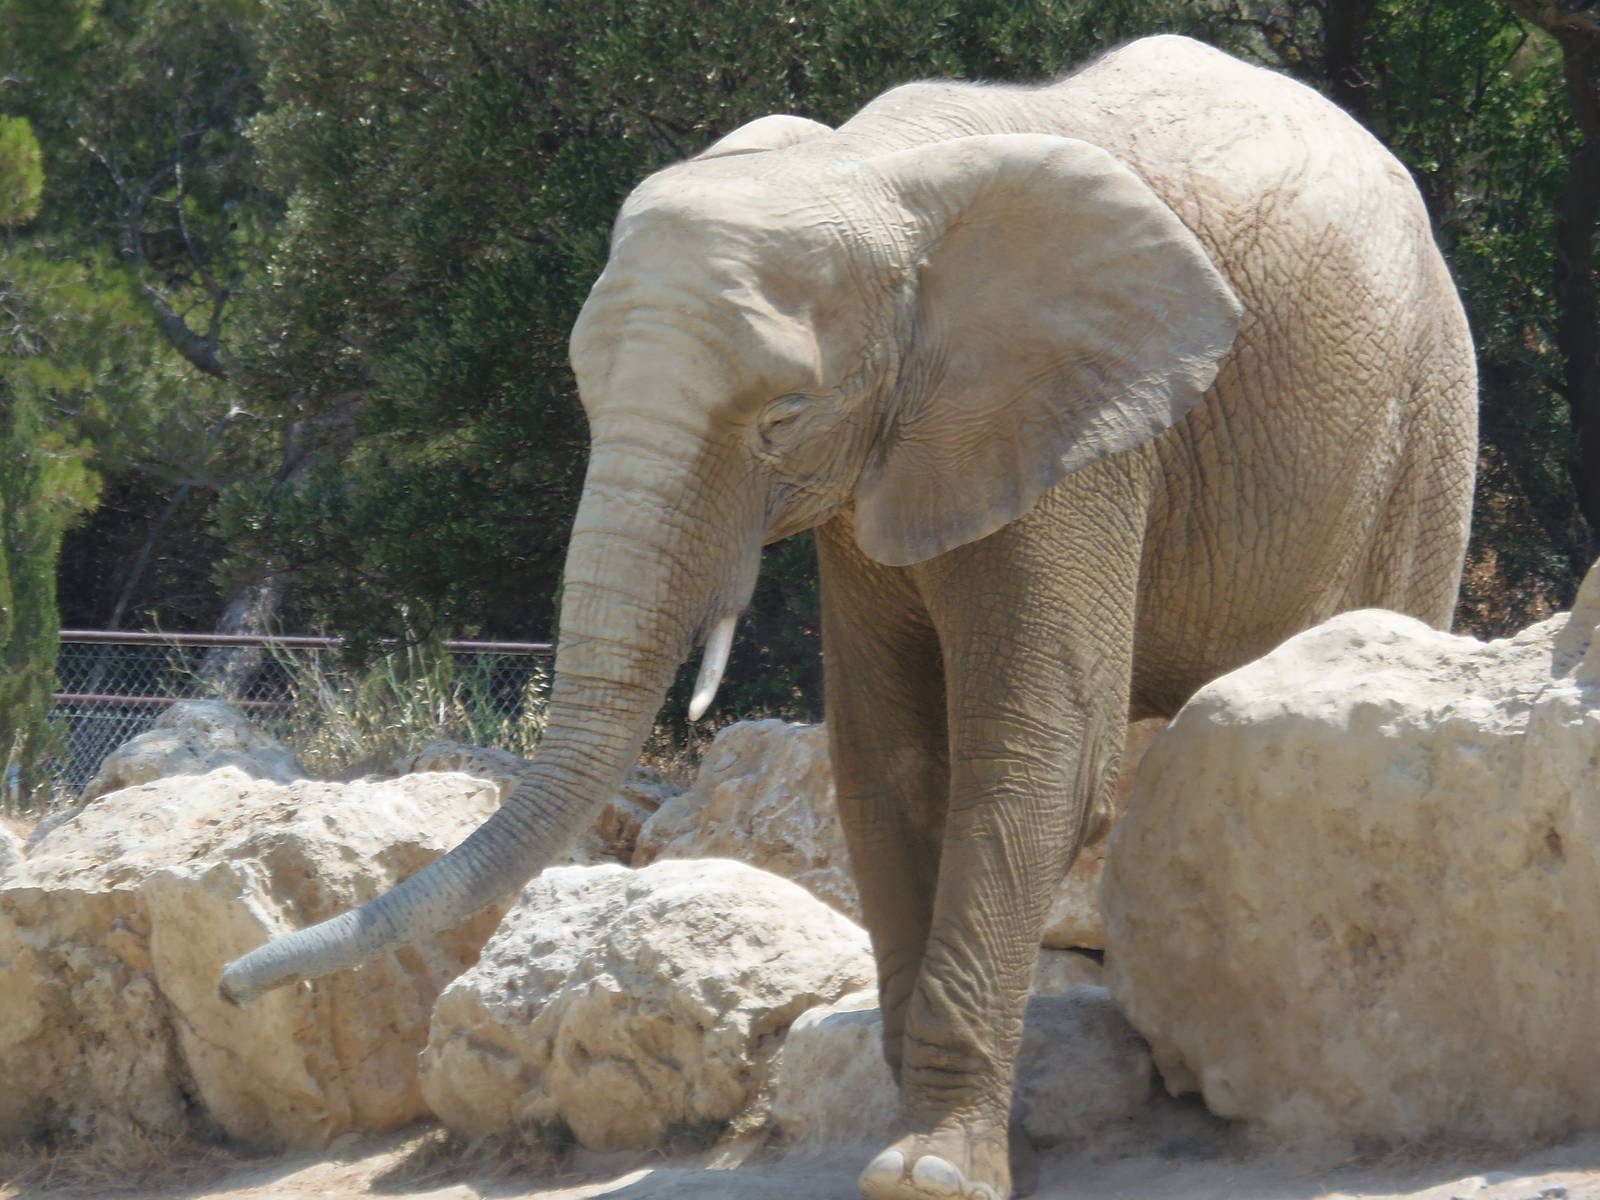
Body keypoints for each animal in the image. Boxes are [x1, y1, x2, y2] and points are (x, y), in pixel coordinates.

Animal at [221, 34, 1476, 1200]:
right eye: (583, 393)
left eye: (783, 415)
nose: (236, 982)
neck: (868, 172)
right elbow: (889, 763)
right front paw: (935, 1143)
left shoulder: (1077, 434)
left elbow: (1032, 757)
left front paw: (928, 1173)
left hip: (1427, 414)